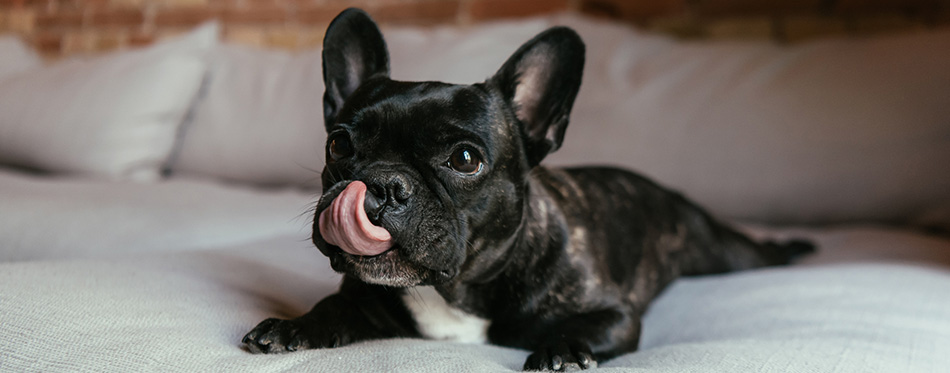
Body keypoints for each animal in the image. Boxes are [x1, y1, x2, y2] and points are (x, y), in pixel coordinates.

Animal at [242, 8, 816, 370]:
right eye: (339, 145)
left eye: (465, 159)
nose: (382, 183)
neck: (456, 290)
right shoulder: (363, 299)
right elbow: (331, 308)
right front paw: (293, 326)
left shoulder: (615, 314)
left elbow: (587, 328)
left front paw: (562, 350)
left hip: (724, 252)